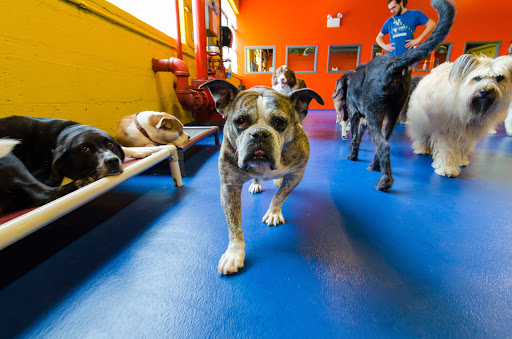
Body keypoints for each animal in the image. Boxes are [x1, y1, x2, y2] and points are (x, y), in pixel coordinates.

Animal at [342, 0, 454, 191]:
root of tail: (393, 67)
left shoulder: (356, 114)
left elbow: (355, 137)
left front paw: (352, 155)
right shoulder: (366, 119)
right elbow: (359, 136)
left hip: (374, 115)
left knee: (383, 146)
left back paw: (384, 181)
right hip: (391, 116)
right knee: (384, 144)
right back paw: (375, 167)